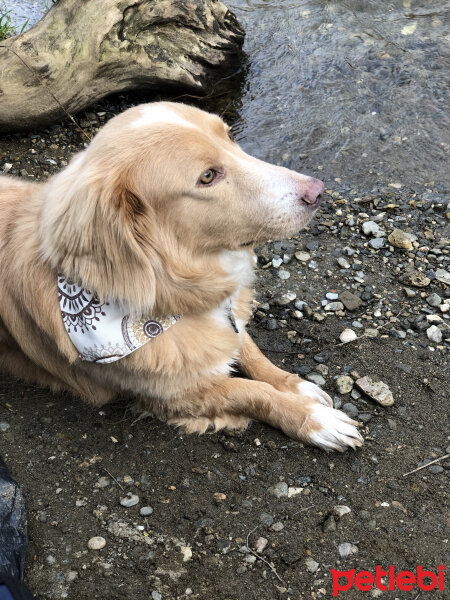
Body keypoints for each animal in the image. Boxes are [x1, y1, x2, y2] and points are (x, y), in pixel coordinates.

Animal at [0, 102, 362, 450]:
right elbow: (250, 392)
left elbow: (251, 352)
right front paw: (313, 420)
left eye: (230, 136)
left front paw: (298, 386)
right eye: (207, 176)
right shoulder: (175, 398)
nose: (318, 191)